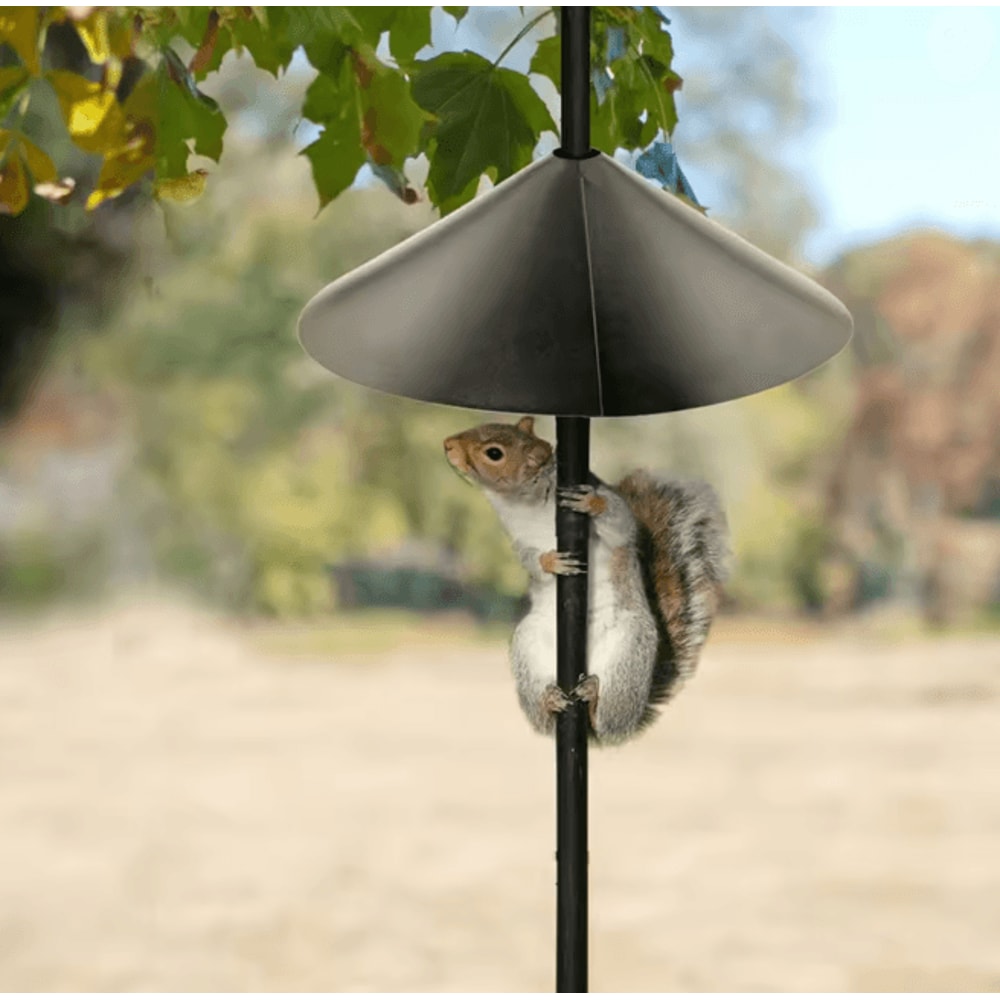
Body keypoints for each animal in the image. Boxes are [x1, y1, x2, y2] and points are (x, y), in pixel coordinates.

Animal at [443, 416, 731, 746]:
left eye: (494, 453)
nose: (447, 445)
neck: (525, 503)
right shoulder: (519, 541)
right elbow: (530, 560)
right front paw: (551, 562)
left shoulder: (615, 516)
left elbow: (620, 523)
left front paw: (591, 503)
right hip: (528, 645)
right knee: (544, 722)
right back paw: (549, 701)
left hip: (629, 653)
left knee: (607, 721)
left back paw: (594, 699)